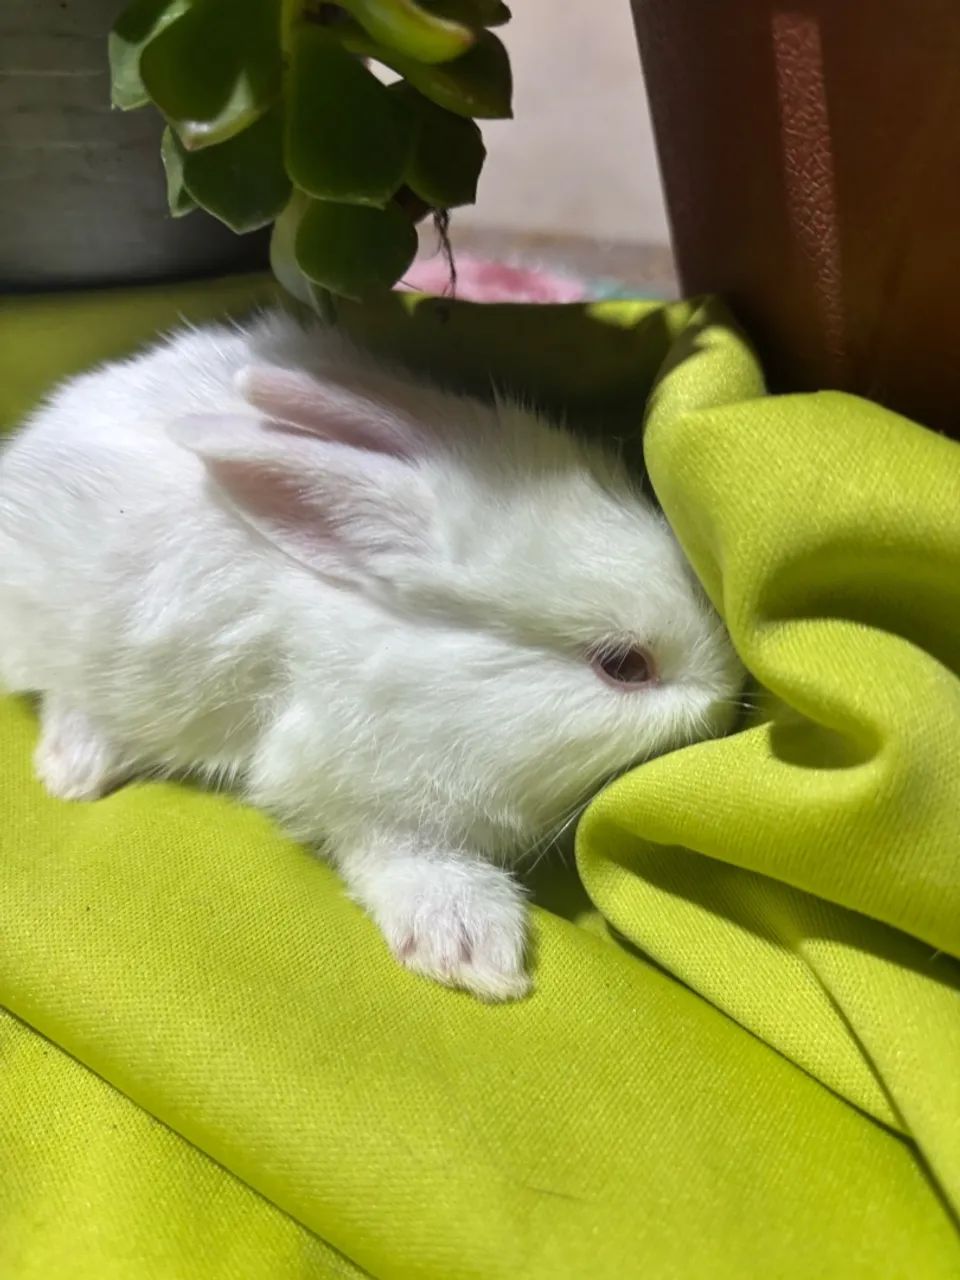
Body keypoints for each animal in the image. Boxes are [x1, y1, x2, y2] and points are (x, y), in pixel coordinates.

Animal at [0, 308, 744, 1001]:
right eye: (623, 666)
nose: (730, 690)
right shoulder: (353, 786)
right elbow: (402, 856)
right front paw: (476, 957)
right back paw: (73, 772)